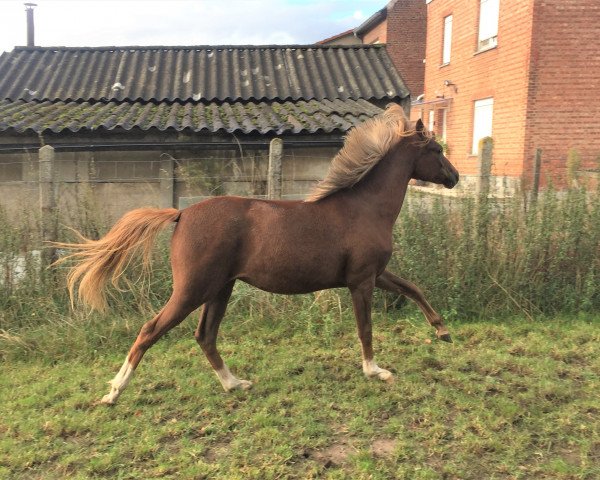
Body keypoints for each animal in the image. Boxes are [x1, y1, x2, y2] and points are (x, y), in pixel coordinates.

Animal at [56, 105, 460, 404]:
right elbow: (366, 328)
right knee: (151, 330)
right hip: (193, 289)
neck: (364, 207)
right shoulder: (361, 281)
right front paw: (376, 371)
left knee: (205, 336)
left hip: (220, 289)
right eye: (436, 150)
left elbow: (413, 288)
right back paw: (114, 392)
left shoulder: (374, 274)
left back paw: (234, 384)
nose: (455, 177)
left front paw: (442, 331)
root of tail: (181, 214)